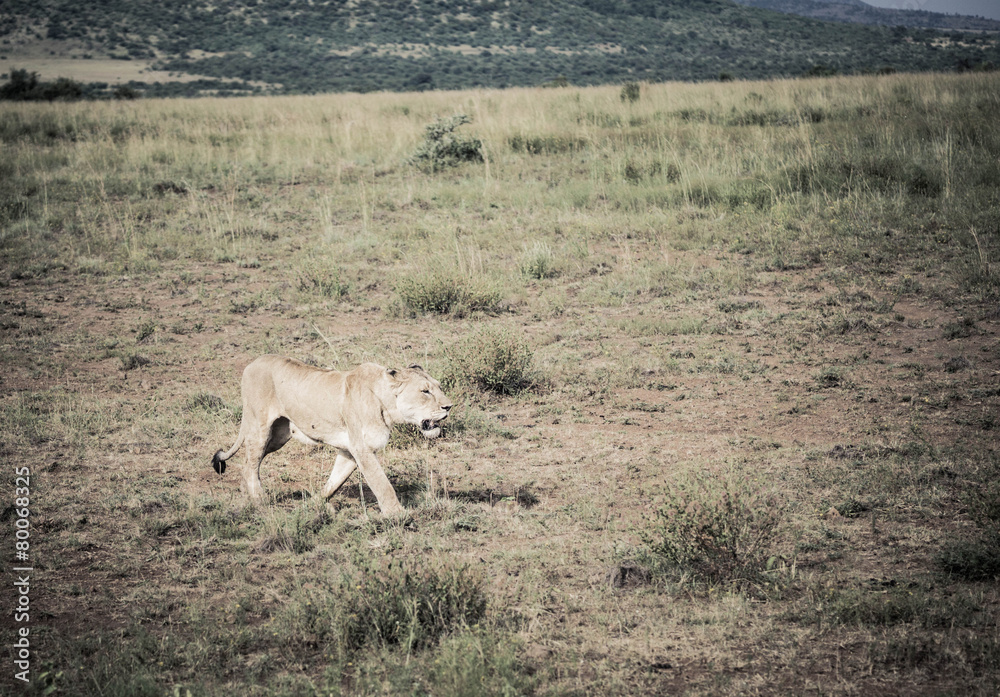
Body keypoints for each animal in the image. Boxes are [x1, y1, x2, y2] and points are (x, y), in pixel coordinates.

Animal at [211, 355, 452, 515]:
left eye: (439, 387)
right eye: (425, 391)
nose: (449, 406)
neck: (386, 404)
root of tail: (252, 363)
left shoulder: (349, 451)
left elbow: (335, 481)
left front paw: (315, 503)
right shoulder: (362, 449)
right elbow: (382, 483)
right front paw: (398, 515)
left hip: (278, 436)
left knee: (248, 461)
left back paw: (245, 494)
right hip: (260, 427)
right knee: (251, 463)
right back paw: (259, 500)